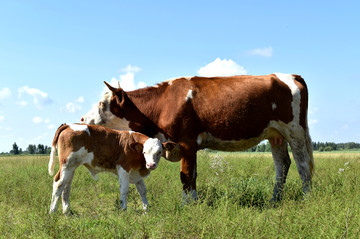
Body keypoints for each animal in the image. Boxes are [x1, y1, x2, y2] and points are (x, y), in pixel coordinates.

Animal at [47, 123, 177, 215]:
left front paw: (147, 209)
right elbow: (124, 190)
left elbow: (142, 191)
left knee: (66, 187)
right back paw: (52, 211)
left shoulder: (136, 173)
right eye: (144, 152)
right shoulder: (123, 168)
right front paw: (124, 209)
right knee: (59, 184)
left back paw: (67, 211)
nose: (151, 165)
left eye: (159, 152)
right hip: (67, 165)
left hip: (72, 167)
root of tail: (68, 125)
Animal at [81, 73, 316, 202]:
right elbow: (192, 175)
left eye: (102, 103)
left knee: (302, 165)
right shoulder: (189, 146)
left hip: (295, 130)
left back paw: (306, 198)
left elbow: (185, 175)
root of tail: (290, 75)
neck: (163, 103)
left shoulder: (186, 141)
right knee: (282, 165)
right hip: (276, 135)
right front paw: (194, 201)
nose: (83, 118)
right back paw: (273, 200)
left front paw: (186, 204)